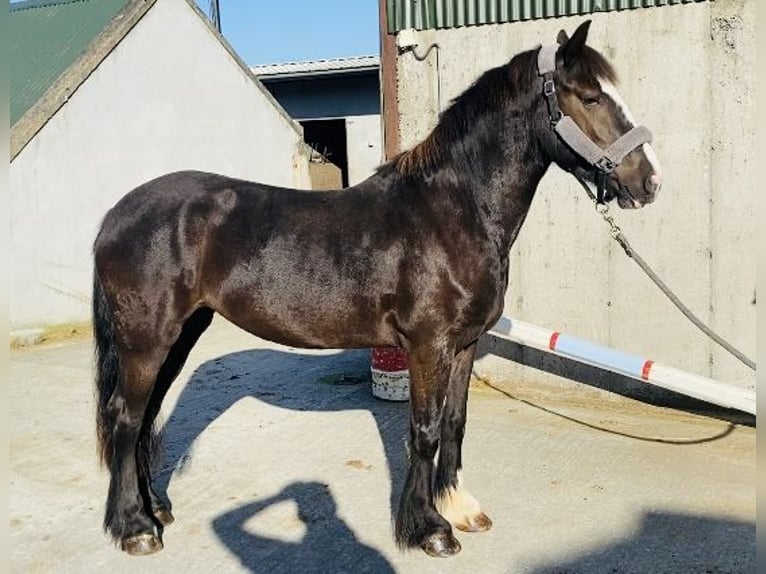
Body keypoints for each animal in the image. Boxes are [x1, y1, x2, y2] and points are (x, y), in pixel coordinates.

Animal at [94, 21, 660, 560]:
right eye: (591, 97)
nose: (649, 182)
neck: (455, 210)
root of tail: (116, 214)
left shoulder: (464, 345)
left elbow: (454, 423)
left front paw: (458, 507)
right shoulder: (429, 346)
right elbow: (424, 431)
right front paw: (429, 529)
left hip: (180, 333)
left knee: (144, 416)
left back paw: (156, 509)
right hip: (147, 339)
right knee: (126, 417)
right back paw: (135, 529)